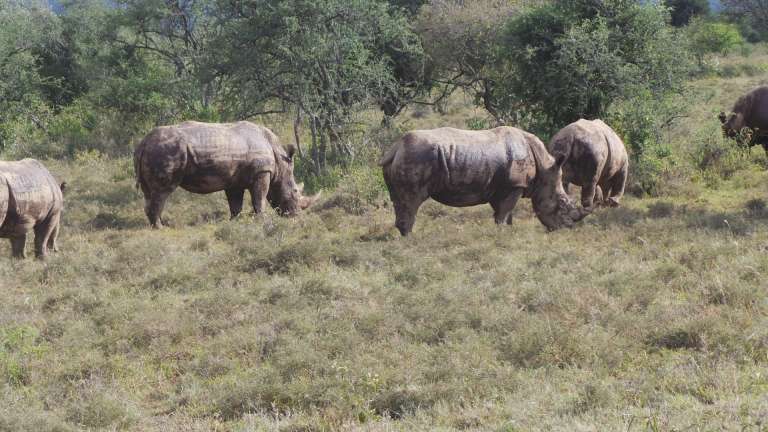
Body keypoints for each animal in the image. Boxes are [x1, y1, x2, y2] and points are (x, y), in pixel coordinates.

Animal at [134, 121, 320, 228]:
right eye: (295, 192)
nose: (296, 216)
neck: (279, 161)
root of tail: (144, 142)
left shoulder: (234, 180)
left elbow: (235, 204)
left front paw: (235, 222)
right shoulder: (262, 172)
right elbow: (259, 198)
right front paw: (263, 221)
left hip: (155, 151)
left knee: (149, 192)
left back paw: (157, 224)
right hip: (165, 152)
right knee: (162, 191)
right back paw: (161, 228)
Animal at [379, 126, 589, 235]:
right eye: (561, 203)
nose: (567, 229)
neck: (544, 167)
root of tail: (395, 148)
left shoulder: (504, 188)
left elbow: (505, 212)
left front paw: (507, 231)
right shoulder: (514, 185)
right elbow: (503, 212)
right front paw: (501, 233)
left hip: (405, 157)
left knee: (399, 200)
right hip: (416, 156)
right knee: (412, 201)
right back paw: (410, 238)